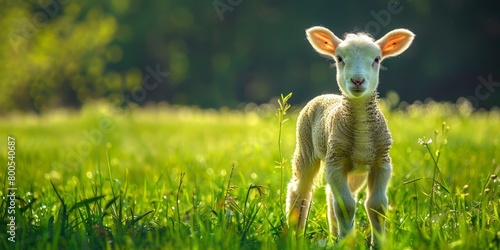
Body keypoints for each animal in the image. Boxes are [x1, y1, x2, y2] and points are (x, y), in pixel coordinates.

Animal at [286, 26, 414, 247]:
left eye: (377, 59)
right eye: (339, 58)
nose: (357, 80)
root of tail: (326, 95)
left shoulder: (382, 162)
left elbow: (377, 206)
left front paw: (377, 244)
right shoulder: (335, 161)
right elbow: (346, 206)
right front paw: (346, 244)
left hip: (356, 171)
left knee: (331, 195)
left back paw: (334, 236)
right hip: (305, 146)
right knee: (300, 191)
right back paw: (294, 236)